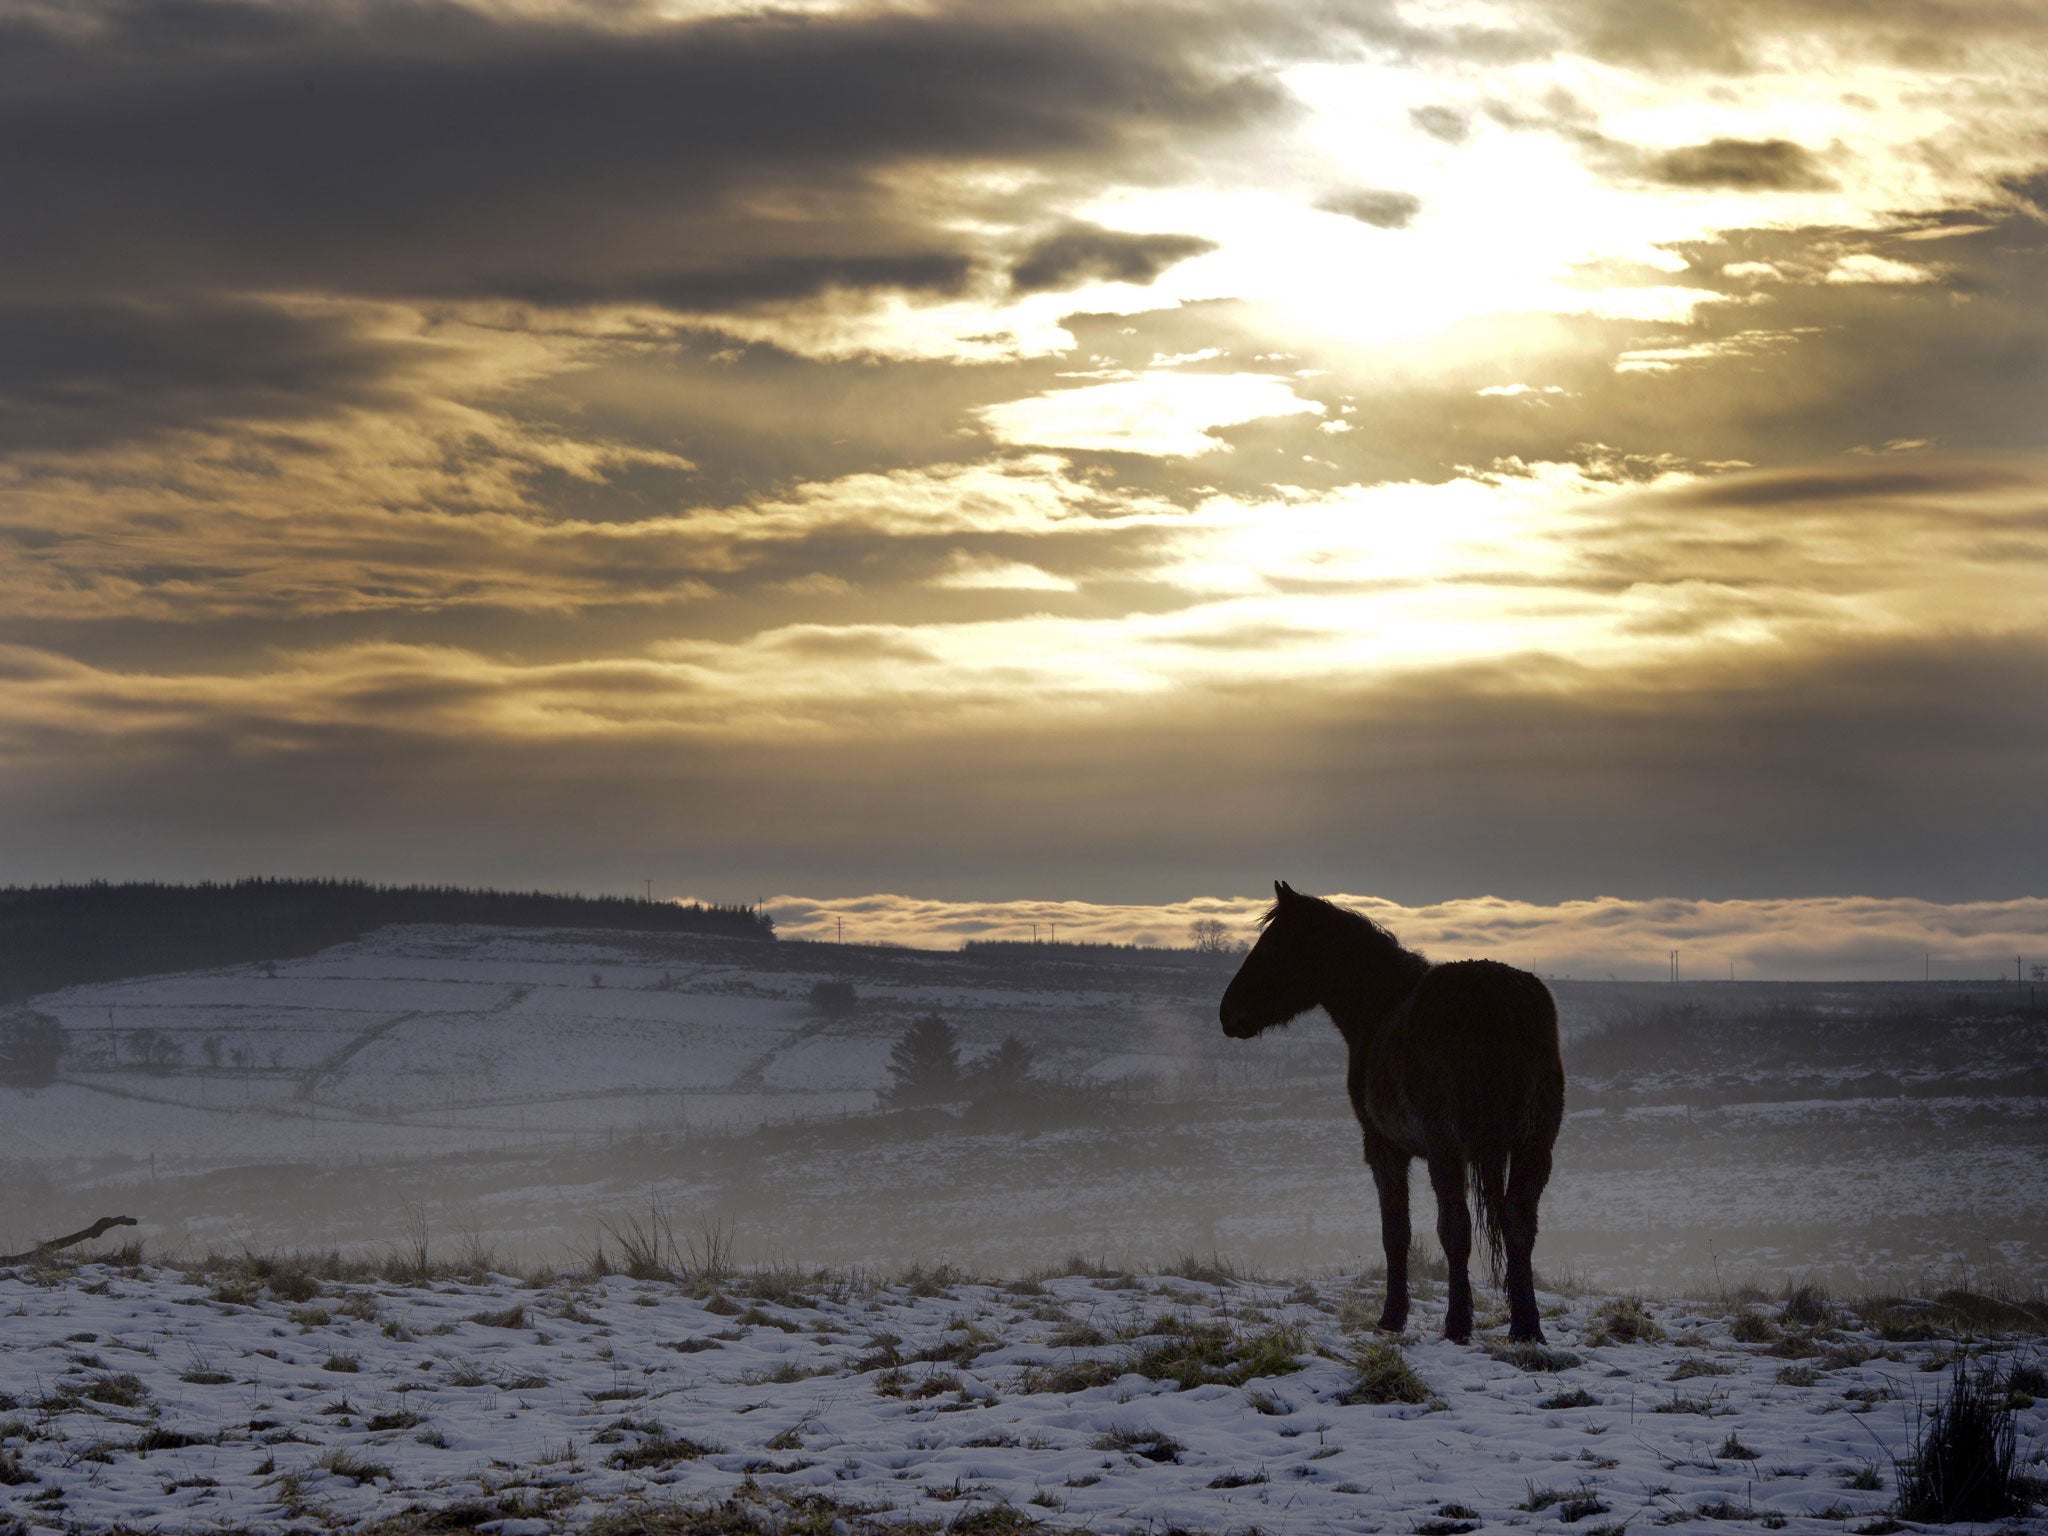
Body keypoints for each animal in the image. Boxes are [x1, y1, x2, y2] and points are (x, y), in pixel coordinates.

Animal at [1212, 884, 1564, 1343]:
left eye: (1271, 947)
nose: (1228, 1013)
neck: (1380, 1004)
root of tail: (1494, 1000)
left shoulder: (1383, 1147)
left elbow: (1396, 1232)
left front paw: (1391, 1319)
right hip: (1534, 1145)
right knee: (1520, 1224)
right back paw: (1527, 1328)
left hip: (1447, 1150)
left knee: (1456, 1228)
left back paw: (1457, 1325)